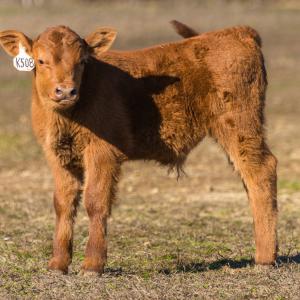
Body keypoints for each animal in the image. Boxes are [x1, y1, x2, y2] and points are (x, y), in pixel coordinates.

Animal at [0, 21, 278, 274]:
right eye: (40, 61)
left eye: (82, 61)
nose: (66, 91)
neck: (69, 115)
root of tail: (237, 32)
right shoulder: (58, 157)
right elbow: (63, 204)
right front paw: (58, 264)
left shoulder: (102, 154)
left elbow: (95, 201)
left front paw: (92, 265)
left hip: (240, 127)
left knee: (261, 171)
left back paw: (265, 258)